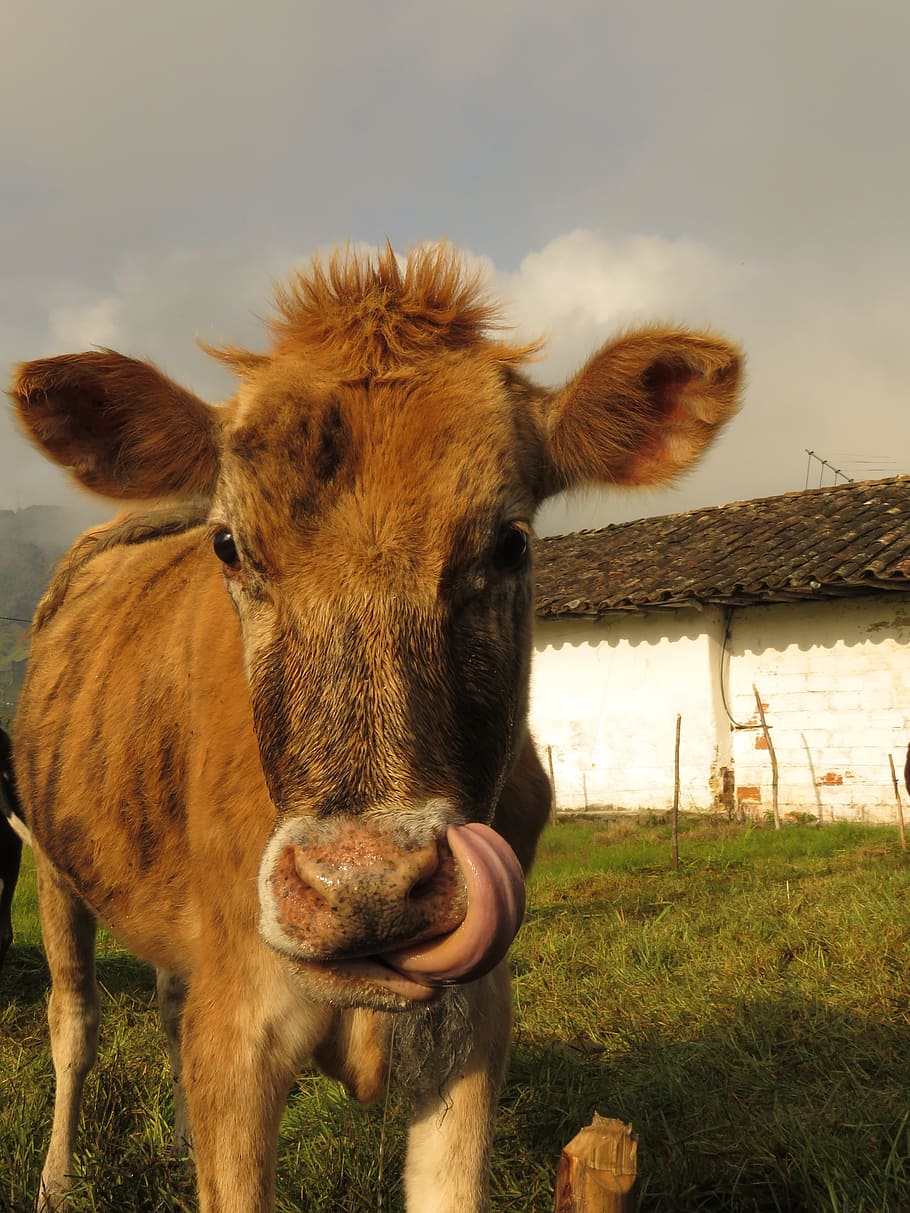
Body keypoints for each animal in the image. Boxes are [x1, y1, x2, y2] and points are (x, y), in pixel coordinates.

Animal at [9, 243, 742, 1212]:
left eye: (509, 541)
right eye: (229, 545)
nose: (365, 887)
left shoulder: (473, 1028)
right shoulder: (238, 1033)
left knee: (166, 1003)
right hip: (54, 865)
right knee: (76, 1020)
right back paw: (58, 1176)